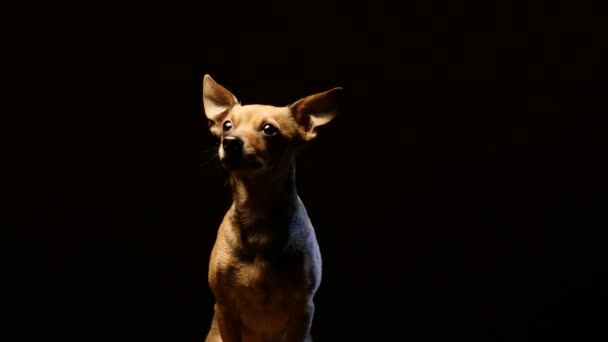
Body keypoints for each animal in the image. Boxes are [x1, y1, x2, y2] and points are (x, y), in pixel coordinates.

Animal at [201, 75, 340, 342]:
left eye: (269, 129)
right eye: (226, 125)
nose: (229, 142)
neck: (257, 209)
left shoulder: (303, 309)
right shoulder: (224, 307)